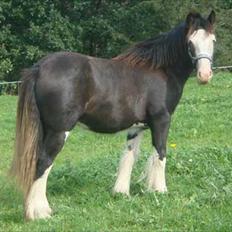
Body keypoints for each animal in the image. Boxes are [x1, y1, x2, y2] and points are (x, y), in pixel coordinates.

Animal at [10, 10, 216, 220]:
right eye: (190, 42)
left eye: (213, 40)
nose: (204, 75)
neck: (161, 71)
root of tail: (40, 67)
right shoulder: (161, 120)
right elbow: (160, 153)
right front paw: (159, 190)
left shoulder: (136, 127)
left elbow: (129, 156)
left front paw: (121, 192)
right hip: (59, 130)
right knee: (44, 162)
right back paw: (40, 212)